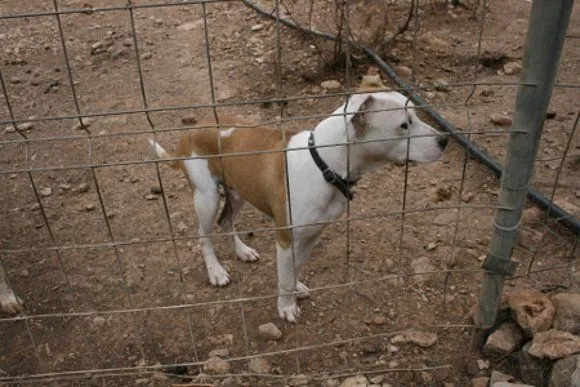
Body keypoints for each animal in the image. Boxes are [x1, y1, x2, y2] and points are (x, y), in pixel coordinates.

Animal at [147, 71, 446, 322]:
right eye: (404, 125)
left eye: (416, 116)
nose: (444, 140)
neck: (325, 165)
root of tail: (193, 129)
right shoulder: (285, 237)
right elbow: (284, 274)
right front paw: (286, 306)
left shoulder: (312, 233)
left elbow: (294, 266)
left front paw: (295, 287)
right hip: (206, 197)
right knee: (204, 235)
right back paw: (216, 271)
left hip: (239, 191)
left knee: (226, 222)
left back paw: (242, 251)